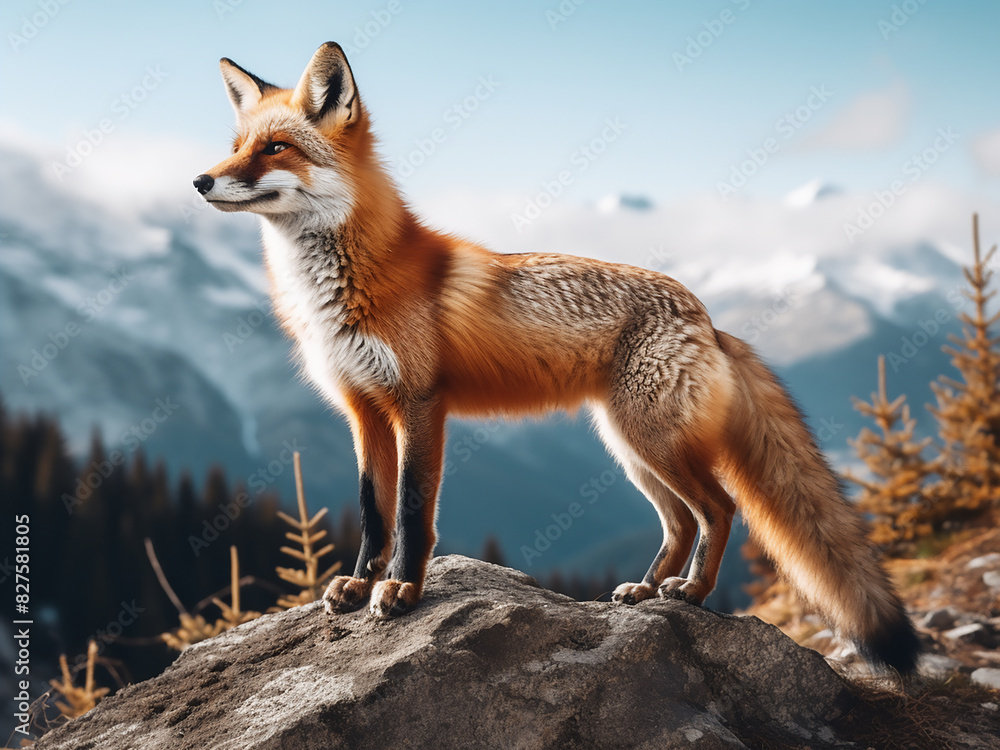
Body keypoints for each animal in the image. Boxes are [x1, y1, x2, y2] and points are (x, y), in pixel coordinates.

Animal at [194, 42, 920, 673]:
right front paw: (357, 582)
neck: (342, 287)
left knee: (719, 510)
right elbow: (374, 513)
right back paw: (645, 592)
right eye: (237, 148)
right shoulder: (364, 411)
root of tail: (709, 318)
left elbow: (412, 514)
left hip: (652, 441)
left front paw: (401, 591)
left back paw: (691, 593)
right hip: (630, 448)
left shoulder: (420, 405)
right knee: (680, 522)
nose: (200, 180)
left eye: (276, 148)